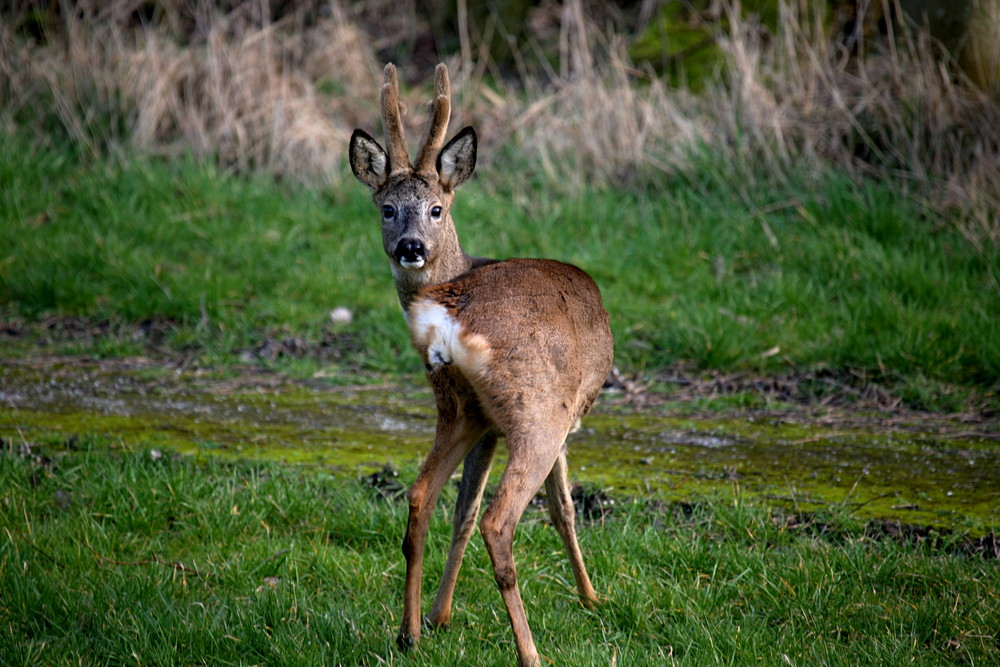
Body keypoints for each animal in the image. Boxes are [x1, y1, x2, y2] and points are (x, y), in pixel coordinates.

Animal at [352, 62, 616, 667]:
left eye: (436, 209)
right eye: (386, 208)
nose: (410, 247)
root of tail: (451, 312)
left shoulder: (482, 424)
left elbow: (461, 513)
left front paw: (439, 616)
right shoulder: (561, 416)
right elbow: (563, 507)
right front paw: (592, 597)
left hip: (457, 406)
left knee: (422, 497)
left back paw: (408, 633)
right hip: (536, 411)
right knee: (500, 521)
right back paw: (531, 653)